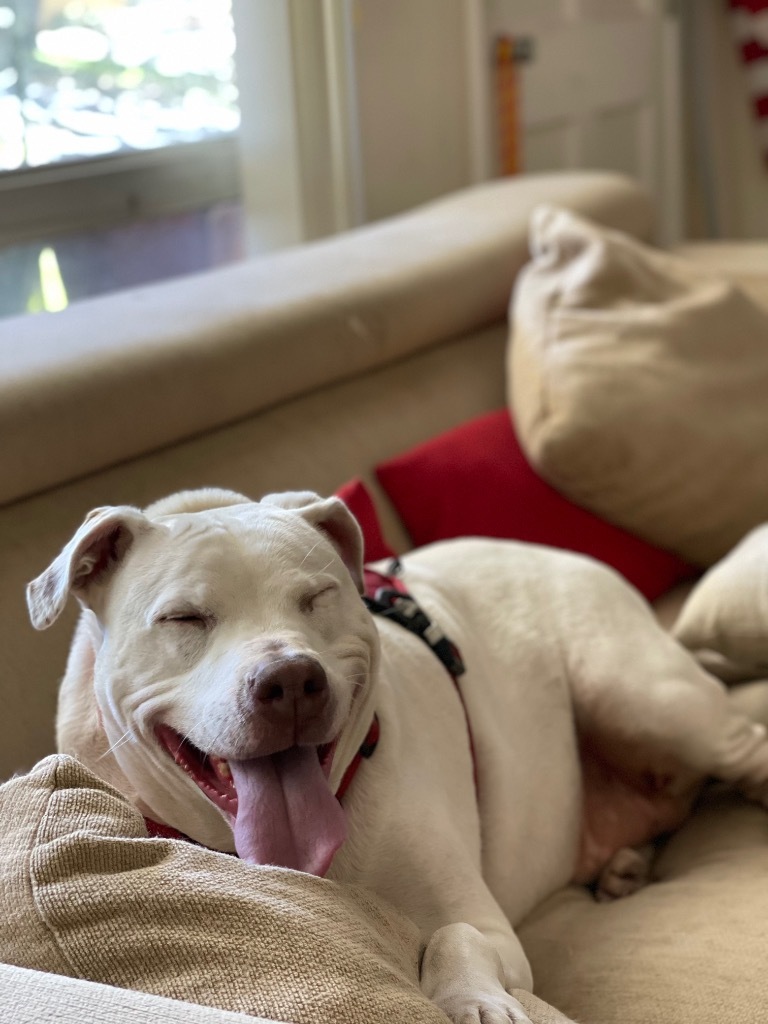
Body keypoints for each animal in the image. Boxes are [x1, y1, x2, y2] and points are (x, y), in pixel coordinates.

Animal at [27, 487, 768, 1024]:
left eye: (319, 597)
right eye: (184, 618)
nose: (290, 680)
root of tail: (563, 554)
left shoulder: (490, 925)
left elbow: (454, 932)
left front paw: (476, 1002)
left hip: (639, 694)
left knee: (737, 748)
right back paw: (627, 862)